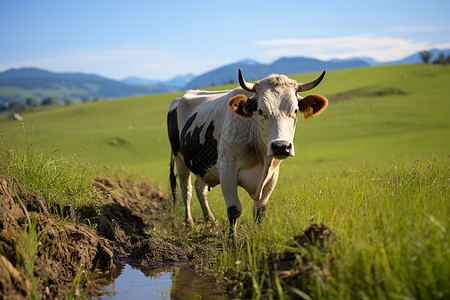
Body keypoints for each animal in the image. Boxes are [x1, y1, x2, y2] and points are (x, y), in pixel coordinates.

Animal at [167, 68, 328, 237]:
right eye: (260, 110)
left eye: (295, 110)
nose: (281, 146)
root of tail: (182, 97)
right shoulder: (227, 170)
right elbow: (234, 209)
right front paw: (232, 240)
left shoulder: (273, 174)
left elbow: (259, 210)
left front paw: (258, 235)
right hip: (179, 158)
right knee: (186, 189)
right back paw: (189, 223)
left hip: (203, 166)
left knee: (200, 188)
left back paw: (211, 221)